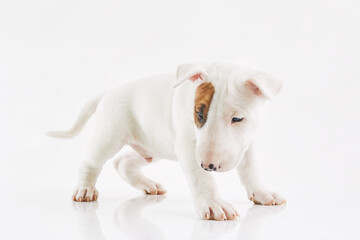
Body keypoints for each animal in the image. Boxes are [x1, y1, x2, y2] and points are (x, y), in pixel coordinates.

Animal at [47, 61, 286, 220]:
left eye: (237, 119)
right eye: (199, 113)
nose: (209, 165)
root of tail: (108, 92)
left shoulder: (246, 144)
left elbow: (250, 168)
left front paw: (262, 193)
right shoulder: (188, 146)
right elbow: (201, 178)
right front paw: (214, 204)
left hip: (153, 146)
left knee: (122, 162)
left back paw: (149, 185)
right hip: (109, 135)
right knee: (91, 162)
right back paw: (84, 190)